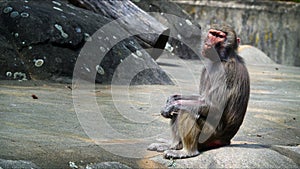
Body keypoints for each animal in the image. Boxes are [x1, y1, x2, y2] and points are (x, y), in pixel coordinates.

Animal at [146, 24, 250, 159]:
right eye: (212, 34)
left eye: (220, 36)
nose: (209, 43)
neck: (223, 58)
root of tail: (225, 141)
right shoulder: (206, 69)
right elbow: (201, 98)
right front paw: (172, 100)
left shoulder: (224, 72)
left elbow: (214, 107)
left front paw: (173, 104)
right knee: (180, 112)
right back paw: (174, 145)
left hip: (209, 135)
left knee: (185, 110)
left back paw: (187, 151)